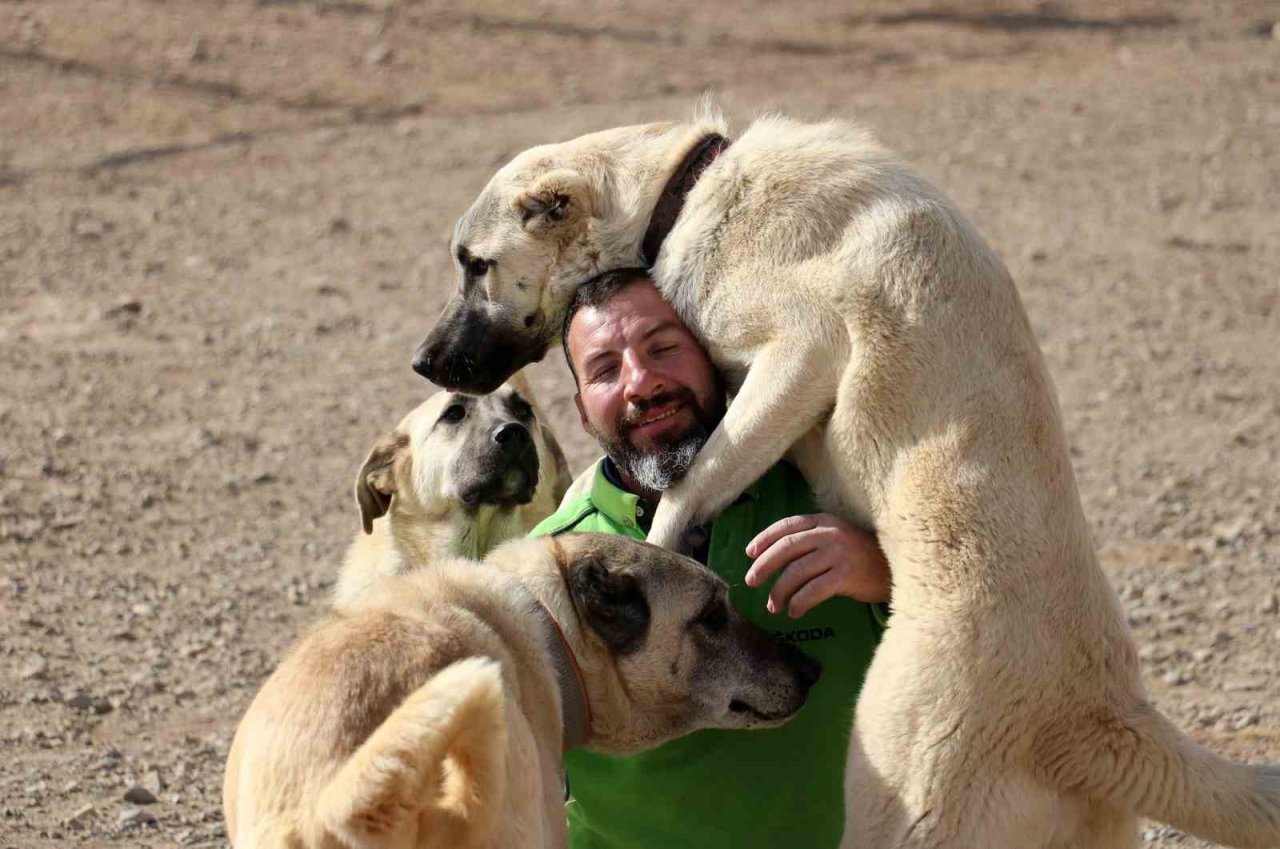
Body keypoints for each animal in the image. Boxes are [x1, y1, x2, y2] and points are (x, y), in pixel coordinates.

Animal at [412, 108, 1280, 849]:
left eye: (476, 265)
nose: (422, 362)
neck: (682, 185)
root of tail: (1098, 713)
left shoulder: (804, 345)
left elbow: (696, 479)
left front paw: (660, 545)